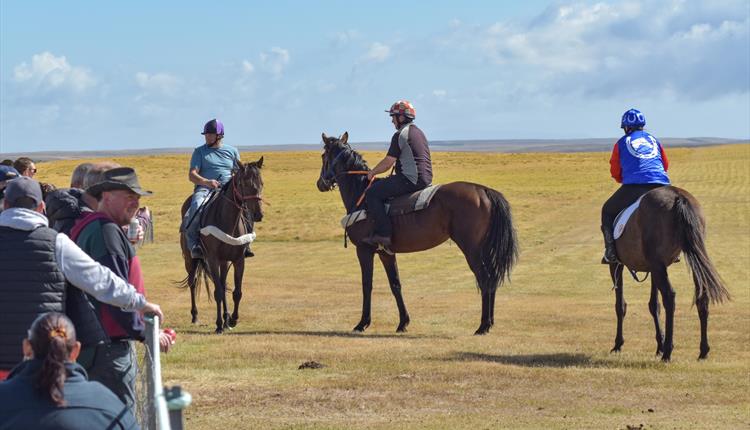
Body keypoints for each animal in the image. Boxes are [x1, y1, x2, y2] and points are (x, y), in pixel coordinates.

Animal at [178, 158, 266, 332]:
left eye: (261, 183)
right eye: (243, 183)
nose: (258, 214)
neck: (227, 220)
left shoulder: (239, 260)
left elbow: (236, 292)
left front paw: (232, 320)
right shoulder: (212, 259)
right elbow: (218, 291)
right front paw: (218, 324)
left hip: (224, 262)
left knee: (223, 284)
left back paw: (226, 319)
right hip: (190, 259)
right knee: (193, 283)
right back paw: (195, 316)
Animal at [316, 133, 516, 334]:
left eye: (323, 156)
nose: (320, 184)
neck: (361, 196)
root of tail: (484, 191)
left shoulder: (364, 250)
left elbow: (367, 285)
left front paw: (362, 323)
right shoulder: (386, 253)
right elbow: (395, 284)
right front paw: (403, 322)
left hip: (472, 249)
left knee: (485, 278)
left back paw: (483, 325)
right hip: (483, 249)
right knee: (492, 278)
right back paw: (489, 322)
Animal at [612, 185, 728, 360]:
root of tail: (678, 196)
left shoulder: (617, 265)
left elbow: (620, 305)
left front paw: (618, 344)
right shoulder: (654, 268)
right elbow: (654, 305)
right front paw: (658, 345)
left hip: (657, 265)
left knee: (669, 296)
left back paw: (668, 351)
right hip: (690, 256)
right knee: (702, 295)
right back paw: (703, 351)